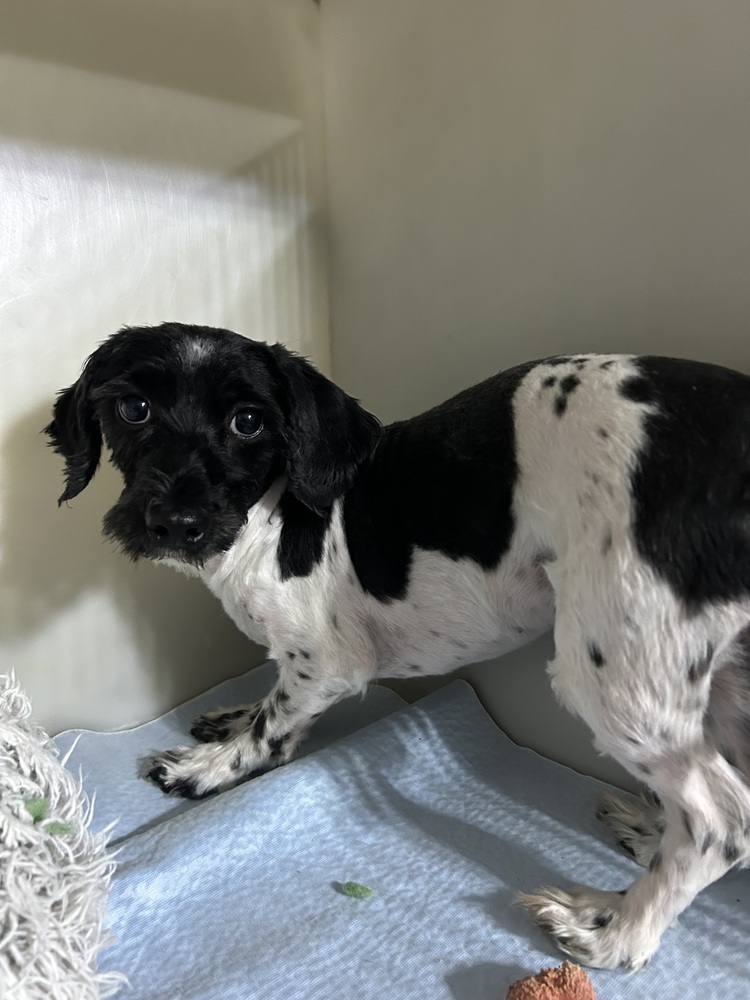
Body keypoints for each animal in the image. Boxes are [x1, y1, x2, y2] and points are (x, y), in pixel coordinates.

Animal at [48, 322, 750, 968]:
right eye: (132, 408)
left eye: (248, 421)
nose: (173, 523)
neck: (268, 523)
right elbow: (266, 701)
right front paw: (229, 723)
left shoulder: (325, 664)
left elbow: (274, 727)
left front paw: (211, 768)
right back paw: (649, 833)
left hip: (618, 671)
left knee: (720, 821)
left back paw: (618, 933)